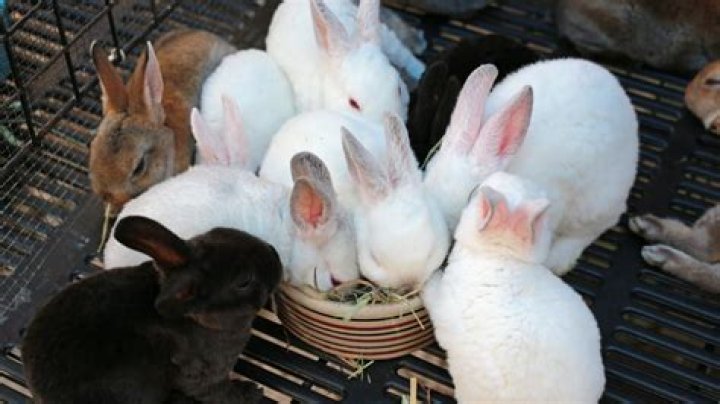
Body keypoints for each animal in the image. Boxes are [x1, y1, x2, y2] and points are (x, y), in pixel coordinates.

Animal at [22, 215, 282, 404]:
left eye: (223, 231)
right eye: (244, 281)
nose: (275, 254)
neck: (198, 319)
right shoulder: (205, 376)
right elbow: (219, 392)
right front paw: (252, 392)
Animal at [422, 177, 605, 402]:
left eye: (474, 194)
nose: (474, 190)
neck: (502, 255)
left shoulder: (442, 304)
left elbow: (432, 294)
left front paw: (428, 280)